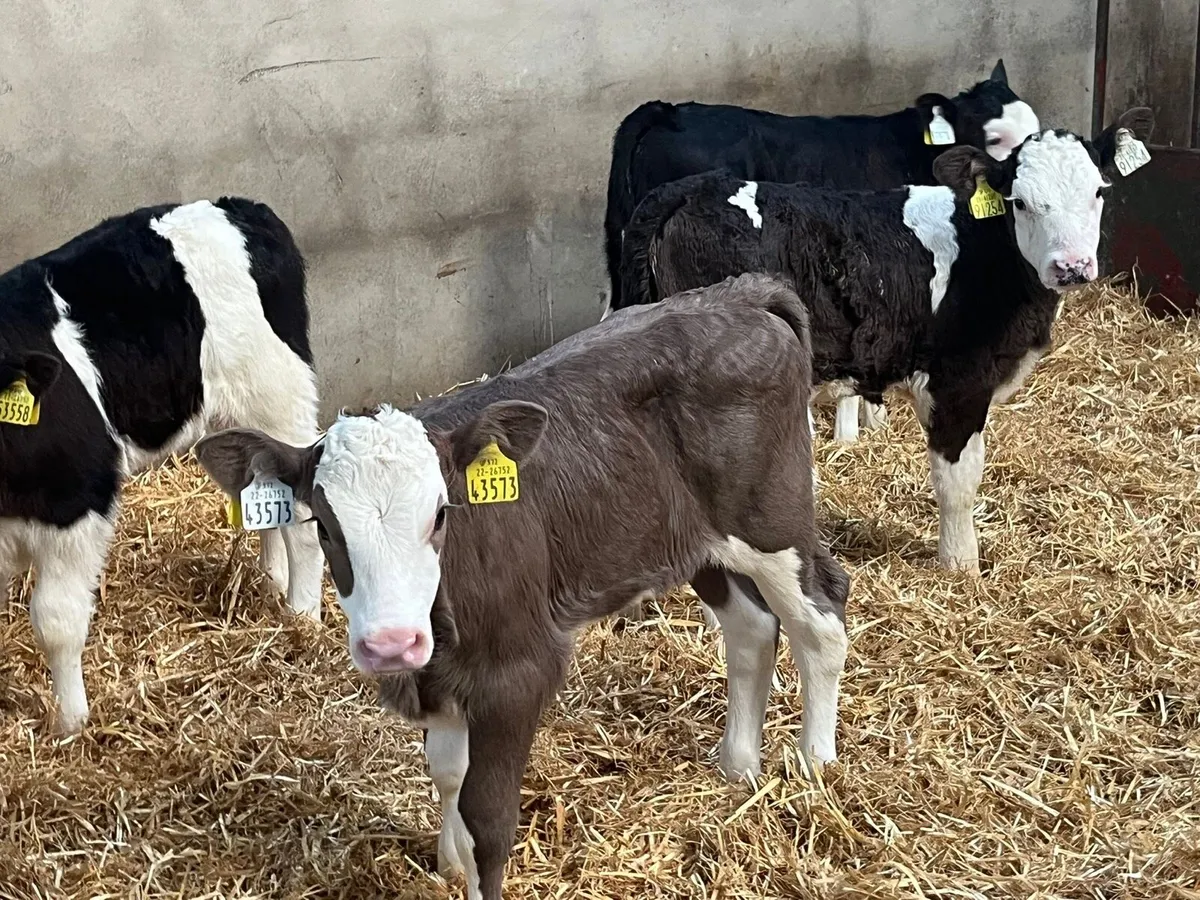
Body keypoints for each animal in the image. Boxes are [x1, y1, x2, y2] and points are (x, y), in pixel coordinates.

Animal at [0, 198, 324, 733]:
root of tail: (245, 208)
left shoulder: (80, 502)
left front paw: (72, 725)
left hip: (279, 401)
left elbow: (57, 621)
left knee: (300, 519)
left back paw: (302, 619)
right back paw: (272, 583)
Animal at [194, 273, 850, 900]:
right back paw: (738, 766)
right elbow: (448, 773)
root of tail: (740, 294)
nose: (391, 644)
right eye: (326, 526)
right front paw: (446, 861)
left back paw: (817, 766)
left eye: (441, 514)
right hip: (695, 542)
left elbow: (487, 820)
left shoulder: (516, 674)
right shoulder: (439, 678)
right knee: (751, 627)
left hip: (773, 523)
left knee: (821, 617)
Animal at [617, 108, 1156, 576]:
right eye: (1019, 201)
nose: (1071, 266)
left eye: (1098, 191)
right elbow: (958, 482)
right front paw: (961, 567)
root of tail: (692, 189)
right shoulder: (957, 383)